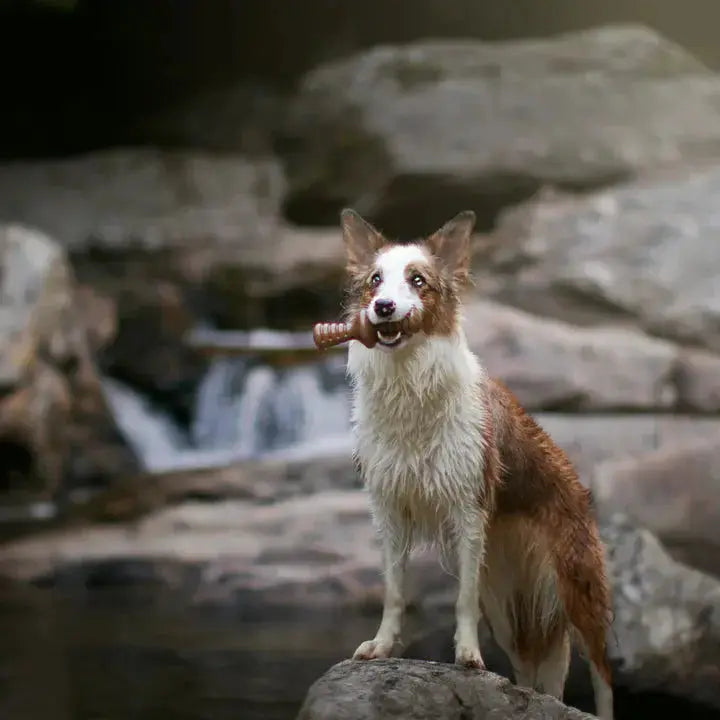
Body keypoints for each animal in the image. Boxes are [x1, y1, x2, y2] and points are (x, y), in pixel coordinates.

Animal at [342, 205, 612, 716]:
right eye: (375, 280)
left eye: (418, 280)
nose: (382, 307)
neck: (409, 385)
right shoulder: (390, 508)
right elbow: (393, 591)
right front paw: (381, 647)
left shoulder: (467, 510)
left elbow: (460, 599)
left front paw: (467, 657)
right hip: (509, 607)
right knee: (531, 675)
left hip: (578, 590)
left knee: (603, 677)